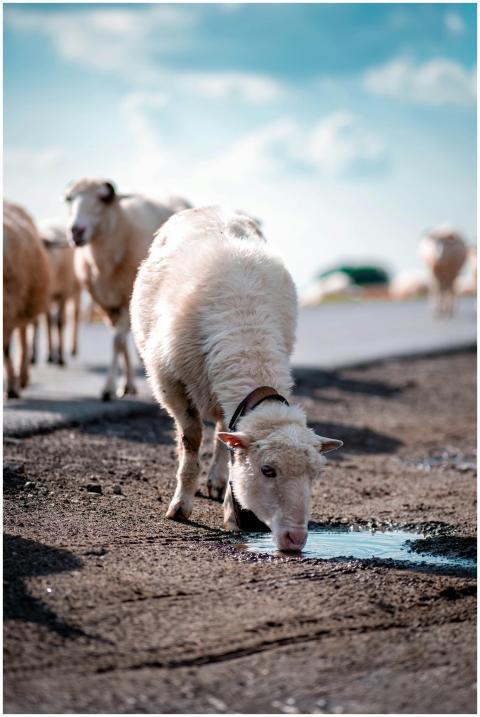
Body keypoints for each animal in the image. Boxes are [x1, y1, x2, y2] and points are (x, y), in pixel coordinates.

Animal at [36, 220, 82, 365]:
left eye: (44, 248)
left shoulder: (64, 294)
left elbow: (60, 323)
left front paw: (60, 358)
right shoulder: (46, 297)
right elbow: (48, 322)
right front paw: (49, 355)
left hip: (76, 290)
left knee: (74, 316)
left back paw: (72, 349)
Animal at [64, 178, 190, 400]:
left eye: (103, 198)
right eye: (69, 199)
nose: (75, 231)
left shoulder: (125, 299)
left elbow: (117, 342)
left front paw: (108, 388)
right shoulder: (106, 305)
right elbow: (121, 344)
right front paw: (125, 385)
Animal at [131, 206, 343, 552]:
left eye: (315, 475)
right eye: (267, 470)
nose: (296, 538)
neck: (247, 333)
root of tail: (209, 207)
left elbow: (228, 446)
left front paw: (231, 511)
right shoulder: (170, 383)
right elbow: (191, 440)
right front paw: (180, 506)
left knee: (221, 428)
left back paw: (218, 482)